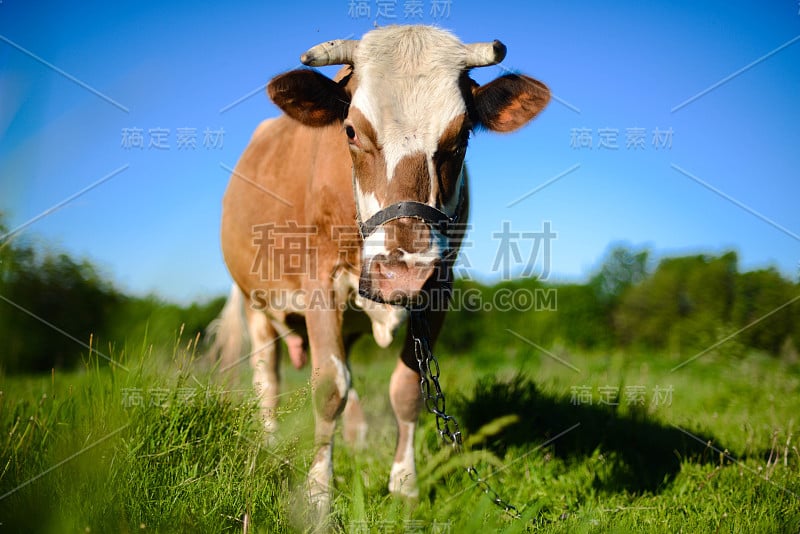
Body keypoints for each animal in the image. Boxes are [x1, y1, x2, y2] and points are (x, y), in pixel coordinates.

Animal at [209, 24, 552, 516]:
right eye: (351, 130)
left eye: (463, 134)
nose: (402, 272)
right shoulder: (320, 285)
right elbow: (328, 388)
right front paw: (318, 495)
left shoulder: (438, 288)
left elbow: (406, 389)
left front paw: (405, 486)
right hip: (256, 303)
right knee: (267, 380)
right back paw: (270, 446)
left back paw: (356, 442)